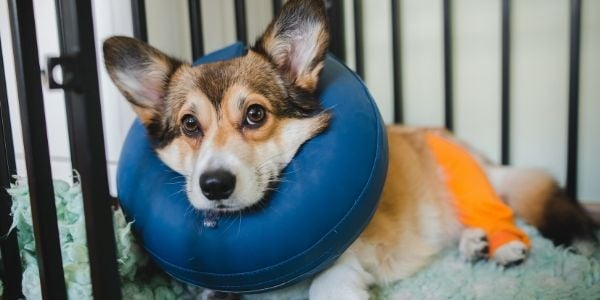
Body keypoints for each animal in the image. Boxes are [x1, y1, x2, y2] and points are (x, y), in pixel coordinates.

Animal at [102, 0, 596, 298]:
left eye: (256, 114)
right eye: (189, 124)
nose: (214, 185)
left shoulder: (353, 254)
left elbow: (329, 281)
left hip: (468, 186)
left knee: (497, 212)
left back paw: (500, 246)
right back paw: (472, 244)